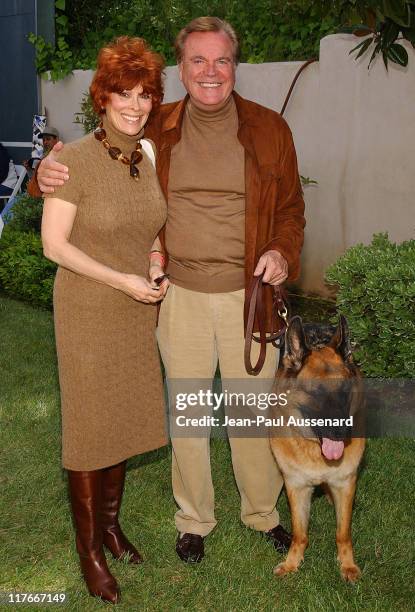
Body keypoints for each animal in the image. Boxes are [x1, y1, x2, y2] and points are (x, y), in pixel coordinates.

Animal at [272, 316, 366, 584]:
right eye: (316, 393)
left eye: (344, 391)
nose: (343, 432)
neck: (315, 448)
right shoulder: (297, 487)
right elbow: (300, 533)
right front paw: (293, 563)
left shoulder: (345, 483)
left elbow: (343, 533)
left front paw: (347, 565)